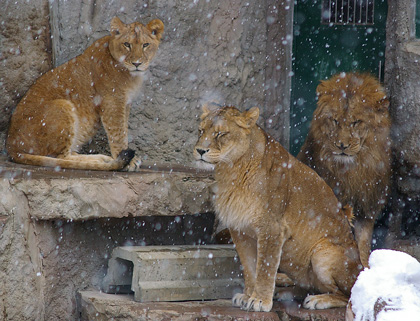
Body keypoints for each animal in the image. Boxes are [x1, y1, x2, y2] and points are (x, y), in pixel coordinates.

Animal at [6, 15, 164, 170]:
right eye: (127, 44)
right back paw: (100, 161)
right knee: (61, 158)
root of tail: (11, 146)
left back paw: (102, 158)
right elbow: (118, 133)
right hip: (62, 105)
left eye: (145, 45)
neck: (131, 75)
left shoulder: (125, 103)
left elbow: (124, 128)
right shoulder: (112, 101)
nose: (137, 63)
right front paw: (127, 160)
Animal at [194, 102, 360, 310]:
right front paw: (247, 296)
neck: (231, 170)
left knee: (348, 294)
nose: (199, 150)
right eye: (201, 131)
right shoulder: (239, 230)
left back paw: (318, 300)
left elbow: (265, 267)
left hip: (322, 253)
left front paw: (260, 301)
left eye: (220, 133)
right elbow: (249, 267)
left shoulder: (271, 228)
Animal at [298, 72, 390, 264]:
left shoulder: (366, 205)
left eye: (356, 122)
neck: (351, 171)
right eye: (334, 120)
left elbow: (363, 243)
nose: (342, 145)